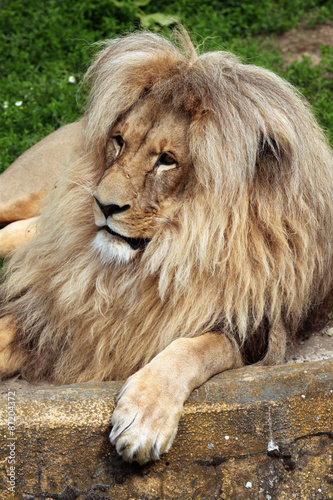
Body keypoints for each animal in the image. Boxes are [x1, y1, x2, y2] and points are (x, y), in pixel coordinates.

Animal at [0, 28, 332, 464]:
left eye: (167, 160)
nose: (101, 204)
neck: (172, 252)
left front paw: (143, 419)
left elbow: (192, 348)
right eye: (119, 142)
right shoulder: (49, 317)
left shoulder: (255, 336)